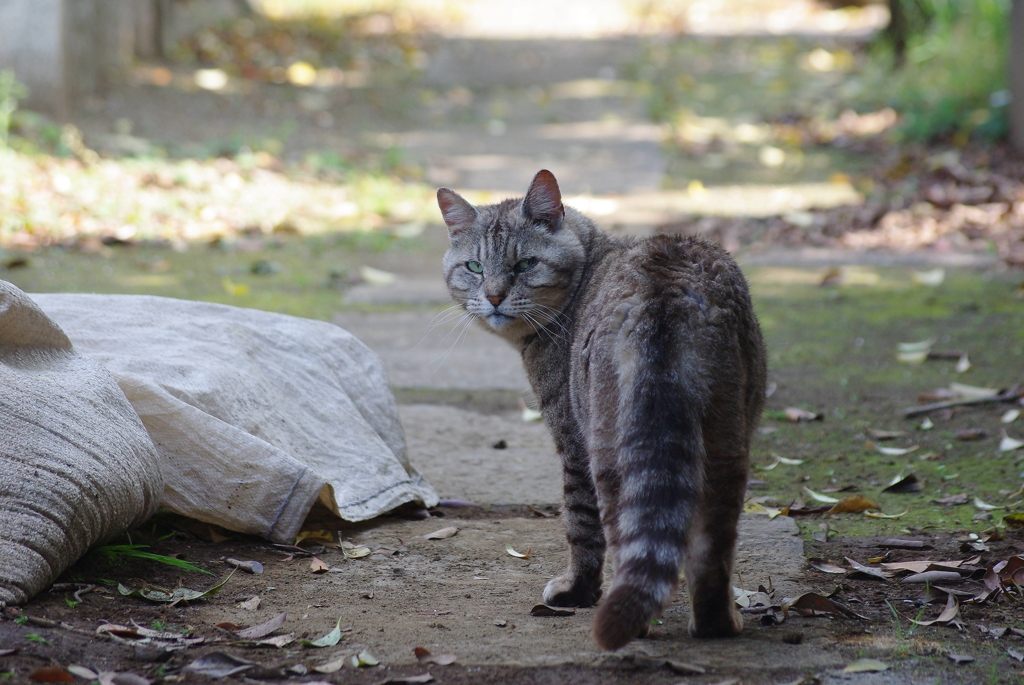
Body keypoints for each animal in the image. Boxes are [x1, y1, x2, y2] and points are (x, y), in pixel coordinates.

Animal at [436, 169, 765, 647]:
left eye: (525, 265)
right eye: (474, 267)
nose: (494, 297)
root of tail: (664, 293)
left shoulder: (572, 441)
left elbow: (580, 526)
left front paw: (576, 591)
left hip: (609, 450)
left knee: (623, 539)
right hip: (726, 445)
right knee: (711, 550)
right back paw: (716, 625)